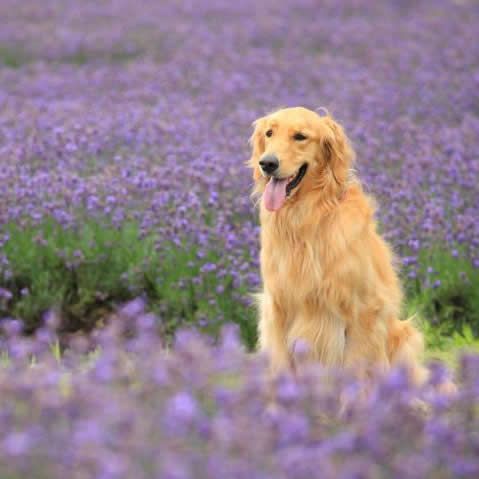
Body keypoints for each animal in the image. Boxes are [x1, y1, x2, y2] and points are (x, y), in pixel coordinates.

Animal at [248, 107, 432, 388]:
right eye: (269, 133)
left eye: (300, 136)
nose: (267, 163)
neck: (306, 218)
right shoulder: (277, 310)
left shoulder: (363, 312)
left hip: (404, 335)